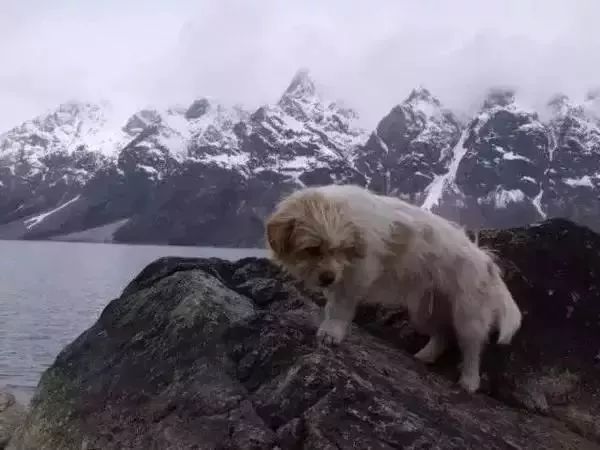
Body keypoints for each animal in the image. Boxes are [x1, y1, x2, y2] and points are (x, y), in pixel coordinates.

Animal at [264, 185, 524, 392]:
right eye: (312, 249)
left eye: (340, 249)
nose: (328, 278)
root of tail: (486, 261)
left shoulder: (355, 278)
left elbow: (339, 307)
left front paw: (331, 332)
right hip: (425, 311)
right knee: (443, 335)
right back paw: (425, 356)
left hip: (467, 314)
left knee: (471, 347)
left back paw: (469, 381)